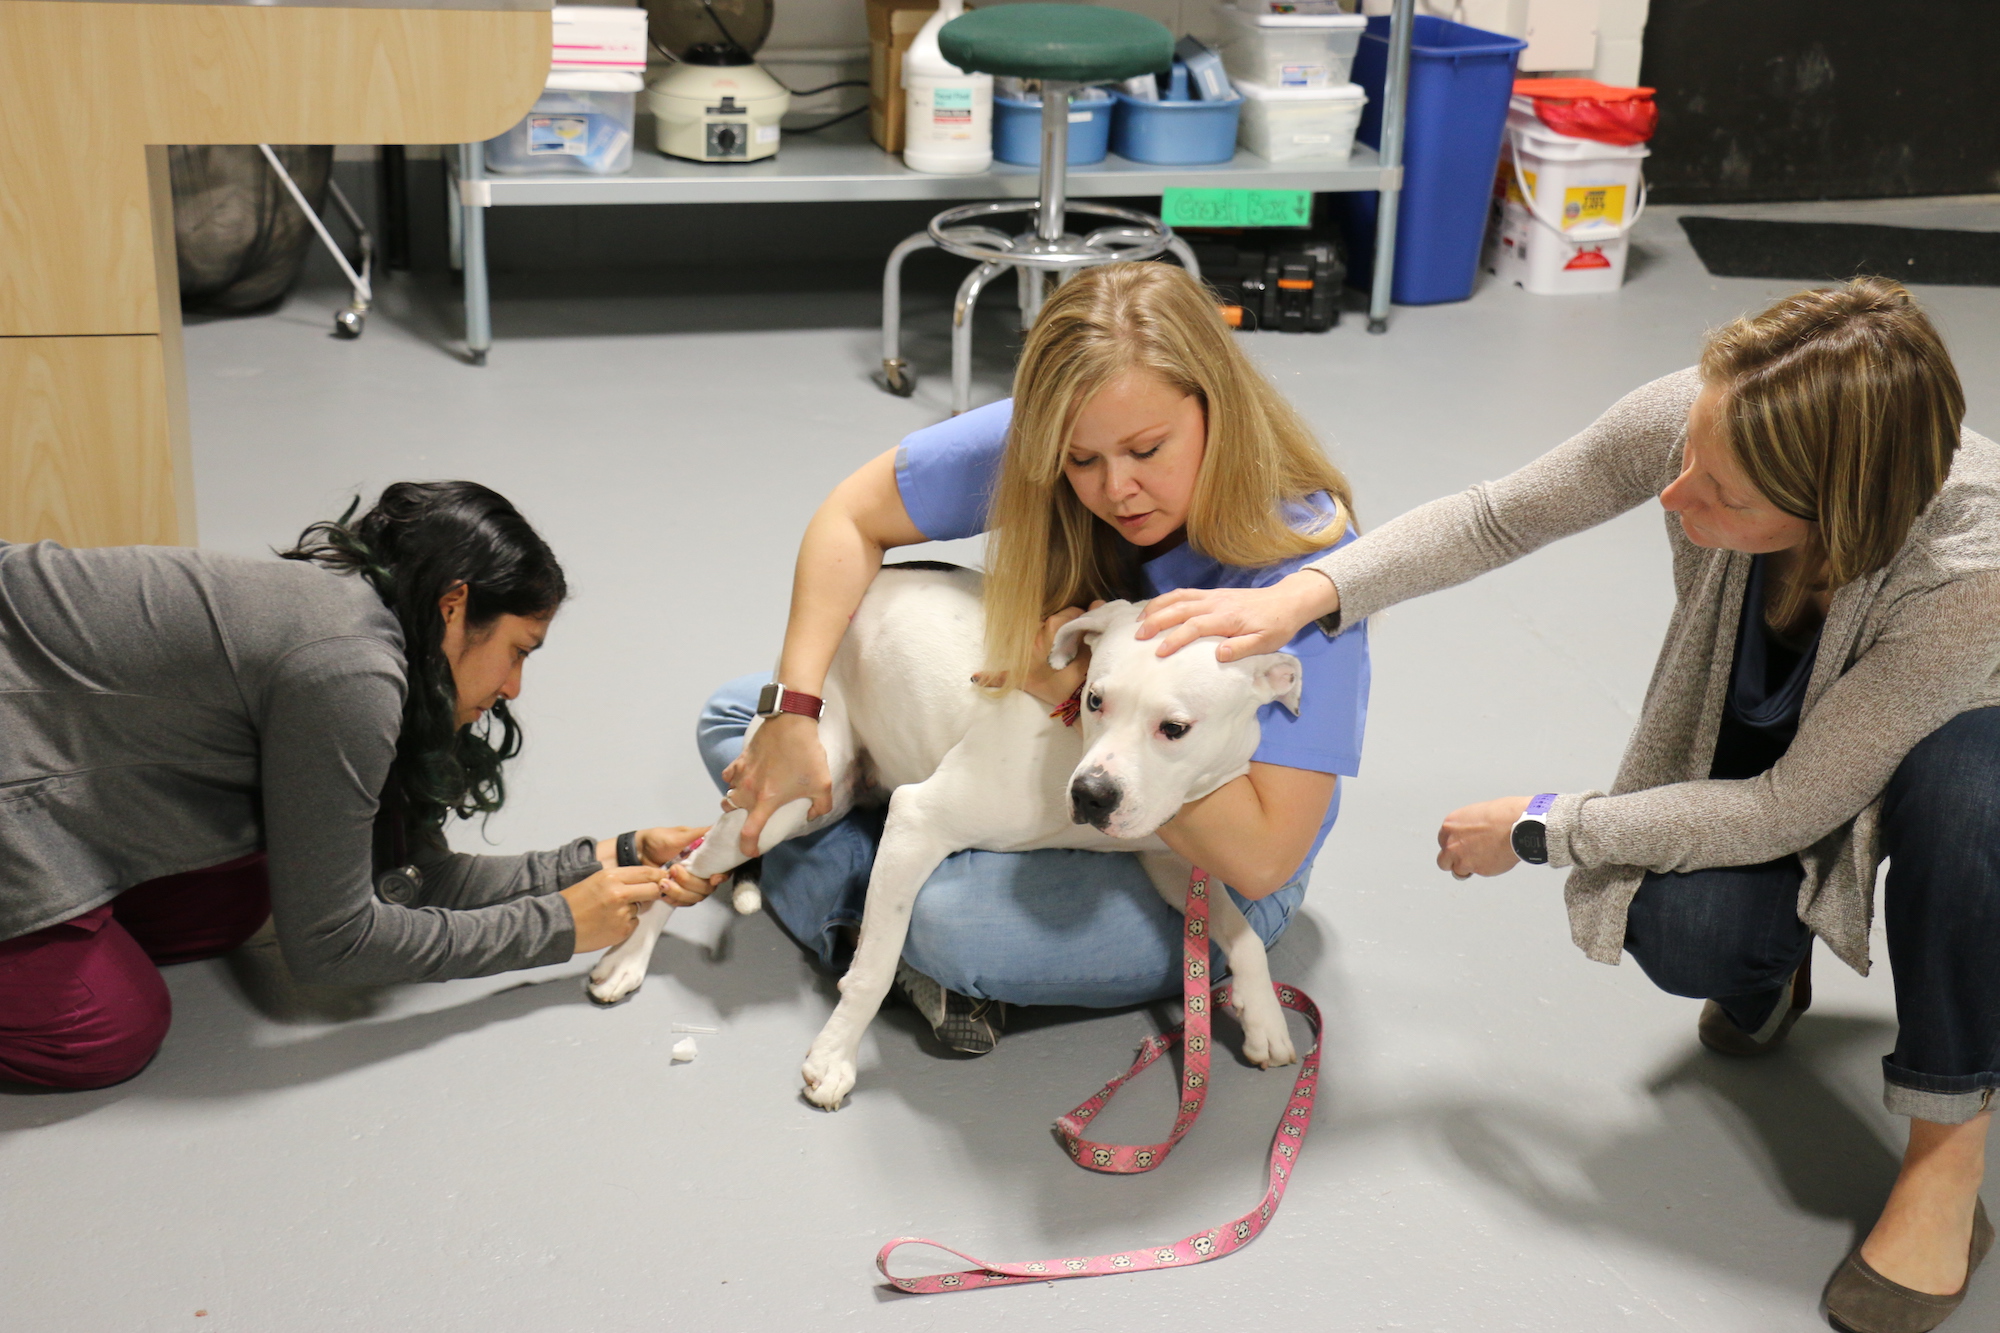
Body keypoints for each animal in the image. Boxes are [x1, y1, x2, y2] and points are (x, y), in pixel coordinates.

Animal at [588, 564, 1312, 1104]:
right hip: (789, 793)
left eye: (1175, 729)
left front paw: (1264, 1016)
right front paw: (835, 1055)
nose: (1090, 795)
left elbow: (1240, 930)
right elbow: (875, 965)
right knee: (686, 865)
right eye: (1094, 699)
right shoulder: (917, 818)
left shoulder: (1168, 857)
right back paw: (629, 959)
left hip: (826, 799)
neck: (1070, 747)